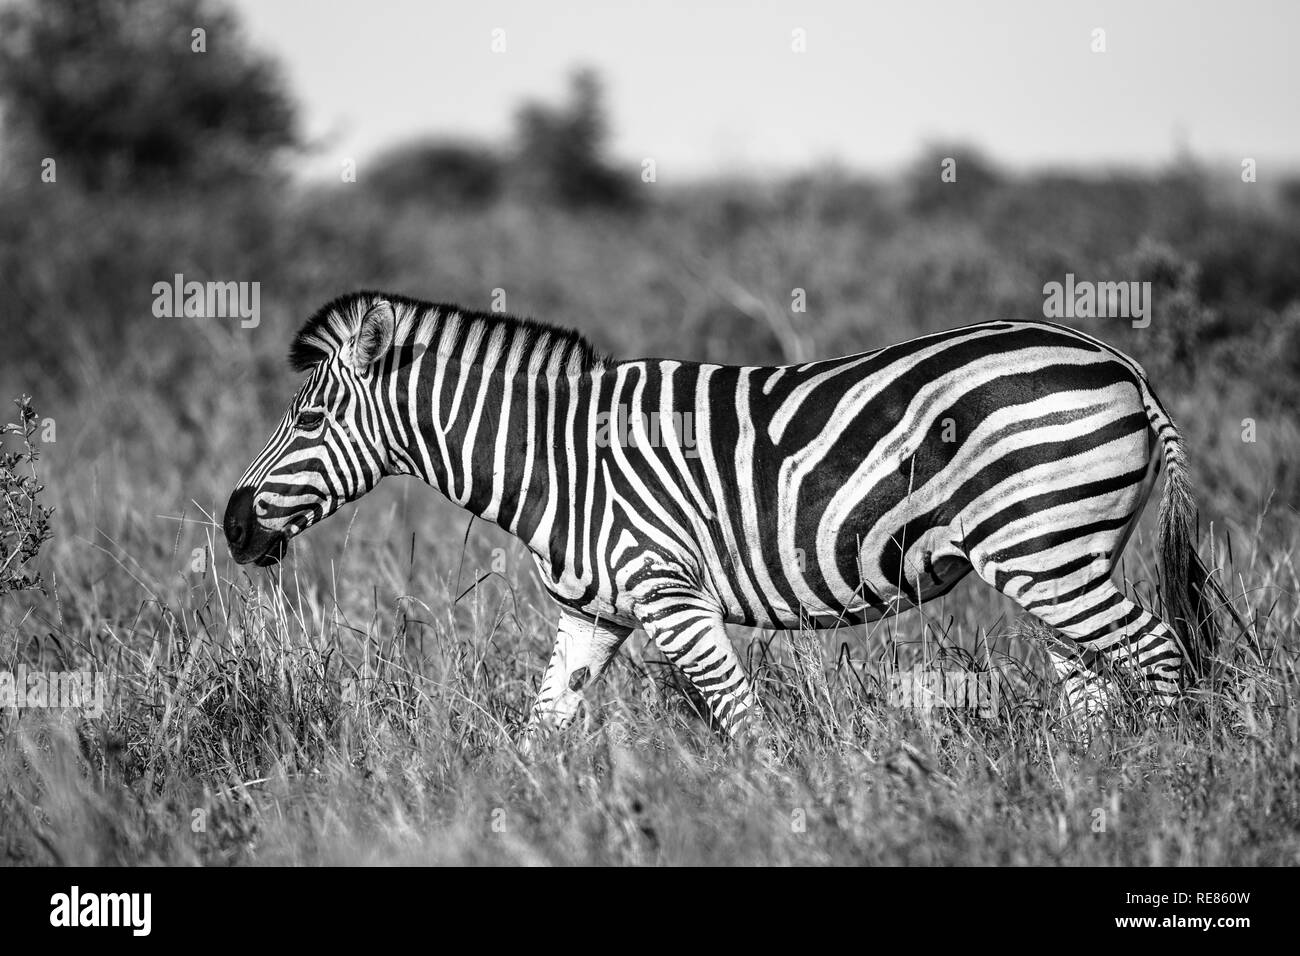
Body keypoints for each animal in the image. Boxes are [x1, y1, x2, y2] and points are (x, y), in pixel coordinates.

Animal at [226, 291, 1227, 738]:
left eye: (306, 421)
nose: (233, 527)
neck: (559, 462)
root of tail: (1122, 365)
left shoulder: (670, 593)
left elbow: (741, 721)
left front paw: (781, 813)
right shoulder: (594, 613)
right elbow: (542, 729)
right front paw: (504, 819)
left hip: (1047, 550)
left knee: (1155, 652)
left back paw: (1155, 779)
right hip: (1052, 555)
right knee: (1092, 683)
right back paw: (1080, 792)